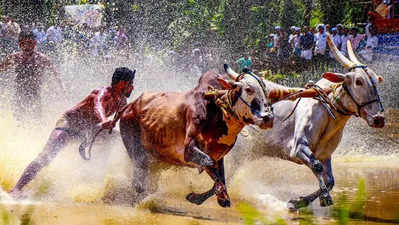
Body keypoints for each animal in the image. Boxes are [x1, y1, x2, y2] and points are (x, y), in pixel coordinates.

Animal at [118, 63, 322, 207]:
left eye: (267, 92)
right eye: (248, 89)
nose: (268, 118)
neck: (218, 111)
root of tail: (130, 106)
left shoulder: (220, 155)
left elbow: (221, 176)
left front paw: (202, 197)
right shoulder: (188, 150)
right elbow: (210, 168)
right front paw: (217, 197)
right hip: (136, 150)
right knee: (139, 179)